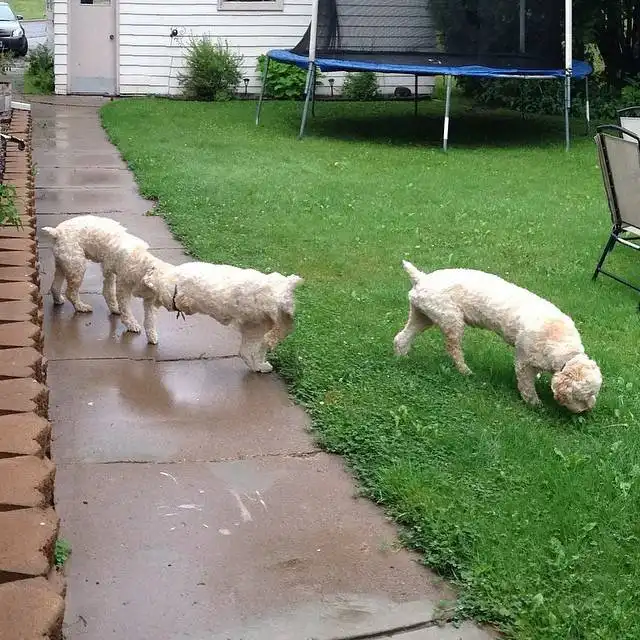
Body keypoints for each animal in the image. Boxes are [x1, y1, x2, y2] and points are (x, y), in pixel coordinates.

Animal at [142, 262, 303, 372]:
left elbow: (256, 350)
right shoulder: (260, 324)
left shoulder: (256, 327)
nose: (290, 317)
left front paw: (260, 363)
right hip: (169, 296)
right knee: (156, 289)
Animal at [393, 261, 602, 412]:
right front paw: (534, 404)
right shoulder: (523, 362)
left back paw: (401, 357)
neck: (561, 343)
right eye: (583, 396)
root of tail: (422, 278)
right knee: (453, 349)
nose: (587, 410)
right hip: (451, 320)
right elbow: (526, 385)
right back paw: (465, 371)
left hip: (423, 316)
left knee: (401, 338)